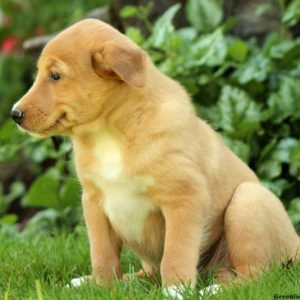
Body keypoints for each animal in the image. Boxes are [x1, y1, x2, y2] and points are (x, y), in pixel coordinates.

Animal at [12, 18, 300, 290]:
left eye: (55, 76)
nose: (14, 114)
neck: (110, 133)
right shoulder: (93, 201)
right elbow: (102, 255)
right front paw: (101, 286)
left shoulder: (184, 197)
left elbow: (176, 254)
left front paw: (175, 290)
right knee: (149, 274)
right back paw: (102, 281)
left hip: (248, 201)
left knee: (254, 276)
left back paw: (212, 289)